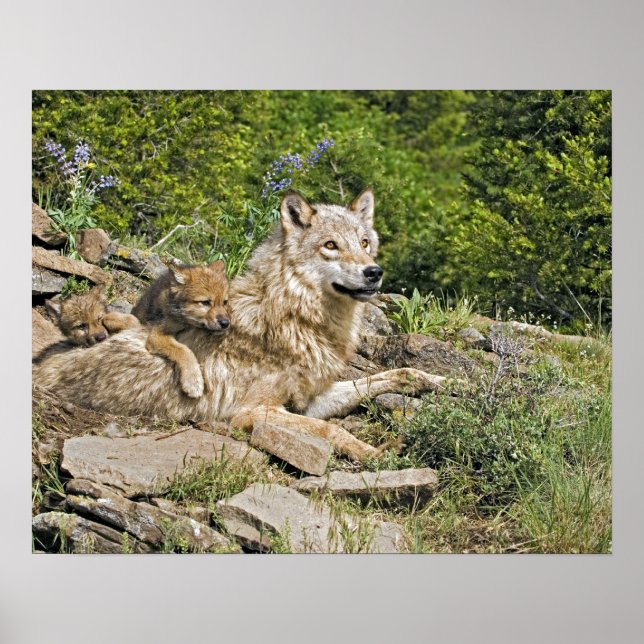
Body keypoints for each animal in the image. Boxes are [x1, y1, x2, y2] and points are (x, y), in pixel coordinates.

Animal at [33, 189, 447, 461]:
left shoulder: (310, 399)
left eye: (364, 243)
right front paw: (376, 455)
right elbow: (333, 429)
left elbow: (396, 374)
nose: (374, 272)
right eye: (331, 245)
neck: (298, 320)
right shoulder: (252, 412)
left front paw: (442, 380)